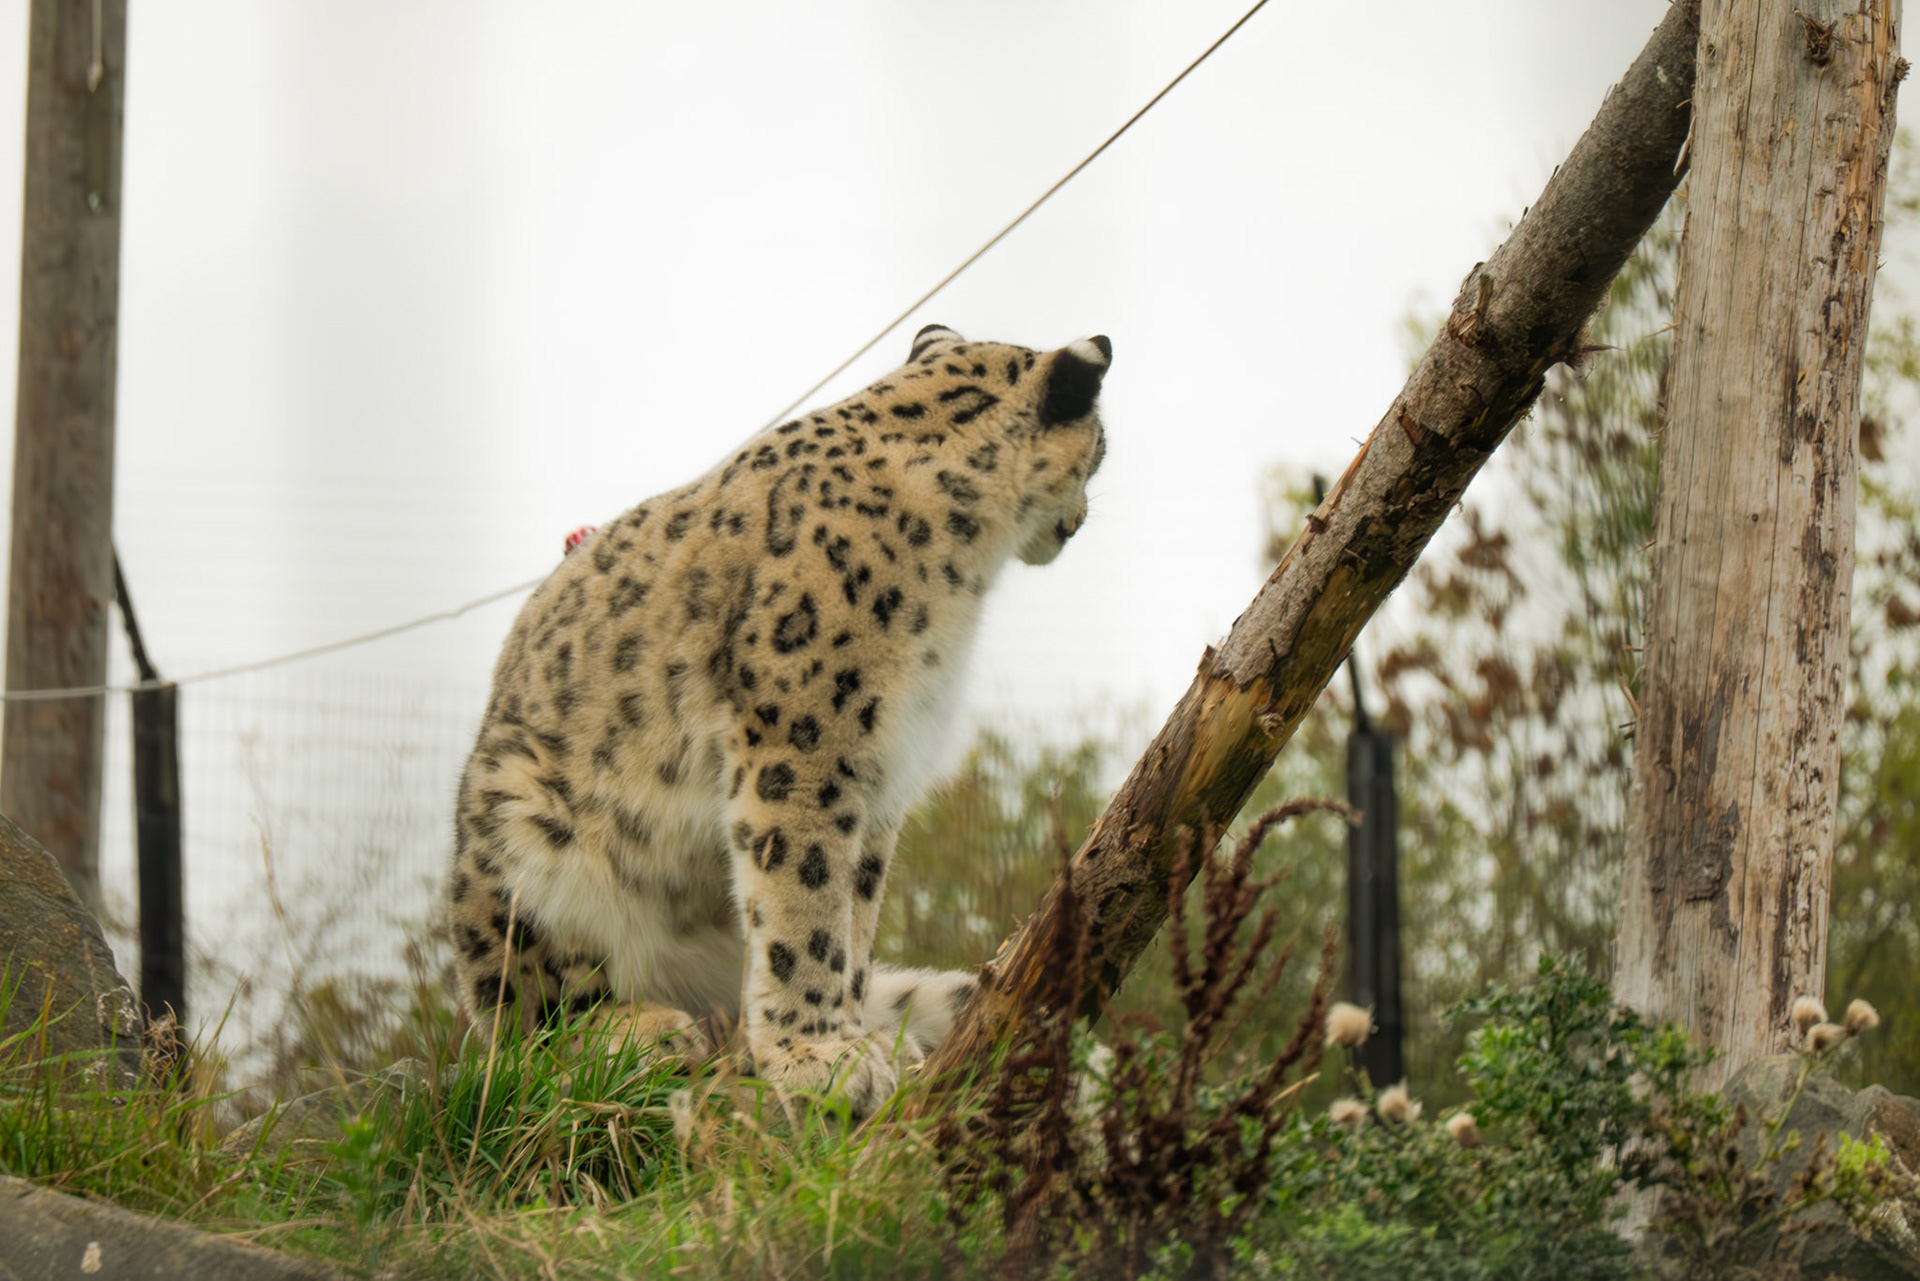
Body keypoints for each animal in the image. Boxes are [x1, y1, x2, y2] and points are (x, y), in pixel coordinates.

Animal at [444, 324, 1111, 1114]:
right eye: (1102, 451)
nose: (1083, 519)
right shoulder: (808, 743)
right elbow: (806, 899)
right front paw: (819, 1059)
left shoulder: (884, 777)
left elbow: (853, 922)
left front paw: (860, 1042)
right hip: (522, 839)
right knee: (525, 1028)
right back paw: (636, 1032)